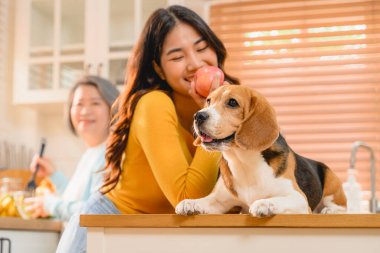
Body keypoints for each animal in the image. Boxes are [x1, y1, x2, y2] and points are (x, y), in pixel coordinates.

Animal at [176, 84, 348, 215]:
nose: (198, 116)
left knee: (341, 207)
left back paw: (329, 211)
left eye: (232, 102)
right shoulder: (219, 200)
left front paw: (265, 203)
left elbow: (278, 199)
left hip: (331, 182)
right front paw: (190, 203)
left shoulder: (298, 198)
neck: (243, 161)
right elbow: (207, 201)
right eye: (208, 100)